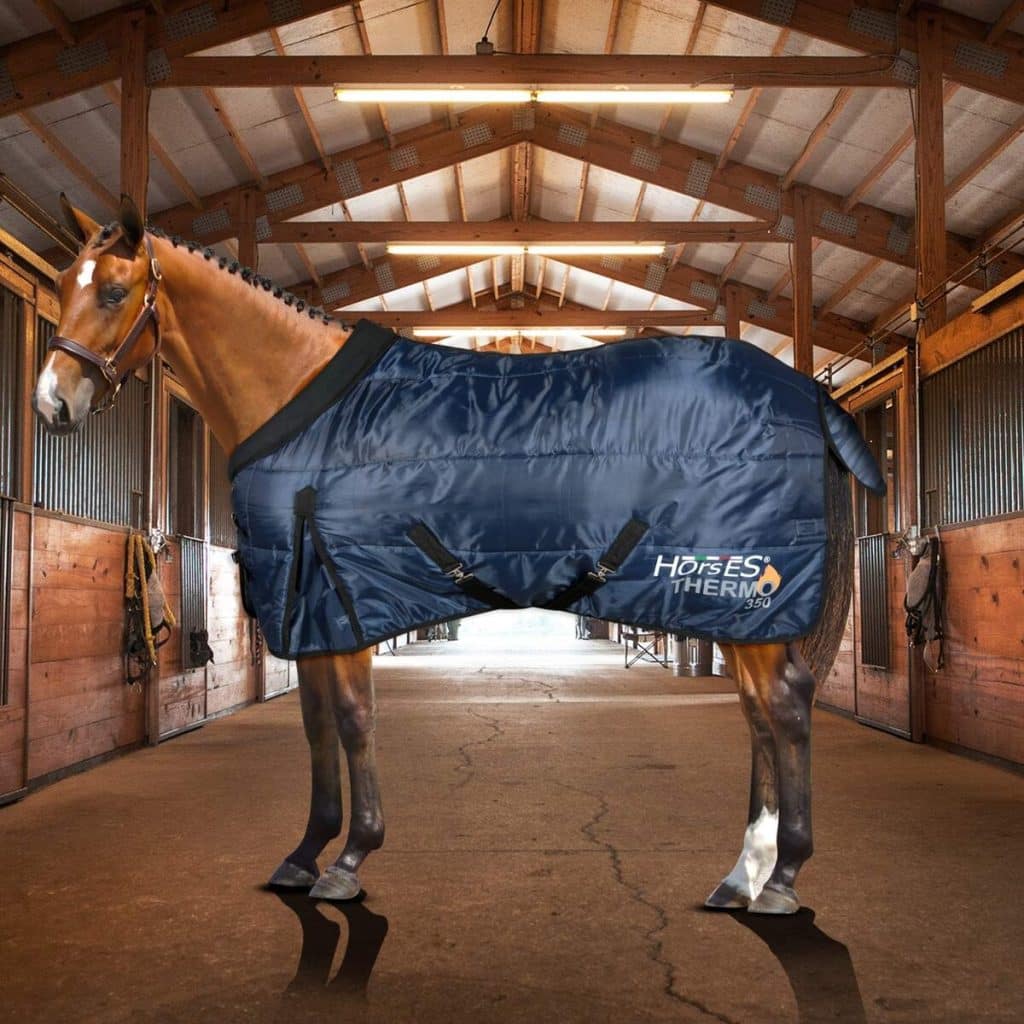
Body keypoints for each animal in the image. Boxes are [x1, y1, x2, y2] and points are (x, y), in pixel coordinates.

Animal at [33, 195, 862, 916]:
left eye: (114, 291)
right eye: (65, 285)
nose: (51, 405)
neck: (307, 400)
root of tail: (805, 393)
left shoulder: (345, 598)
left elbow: (353, 719)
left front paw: (350, 859)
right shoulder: (310, 611)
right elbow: (317, 724)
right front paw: (304, 855)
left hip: (741, 595)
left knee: (783, 708)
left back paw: (781, 879)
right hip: (736, 609)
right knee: (760, 712)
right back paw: (742, 876)